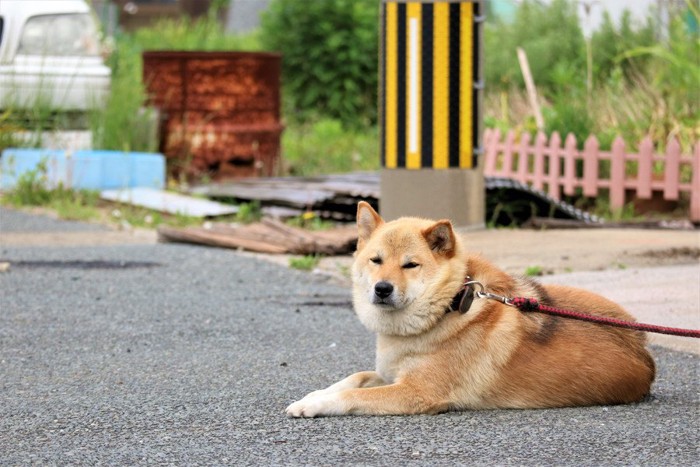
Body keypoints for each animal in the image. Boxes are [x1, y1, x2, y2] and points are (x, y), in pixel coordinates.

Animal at [284, 201, 656, 416]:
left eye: (410, 265)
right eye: (376, 260)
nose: (382, 288)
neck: (446, 309)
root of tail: (645, 353)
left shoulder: (416, 393)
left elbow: (351, 396)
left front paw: (315, 404)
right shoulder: (389, 374)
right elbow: (355, 378)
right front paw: (313, 393)